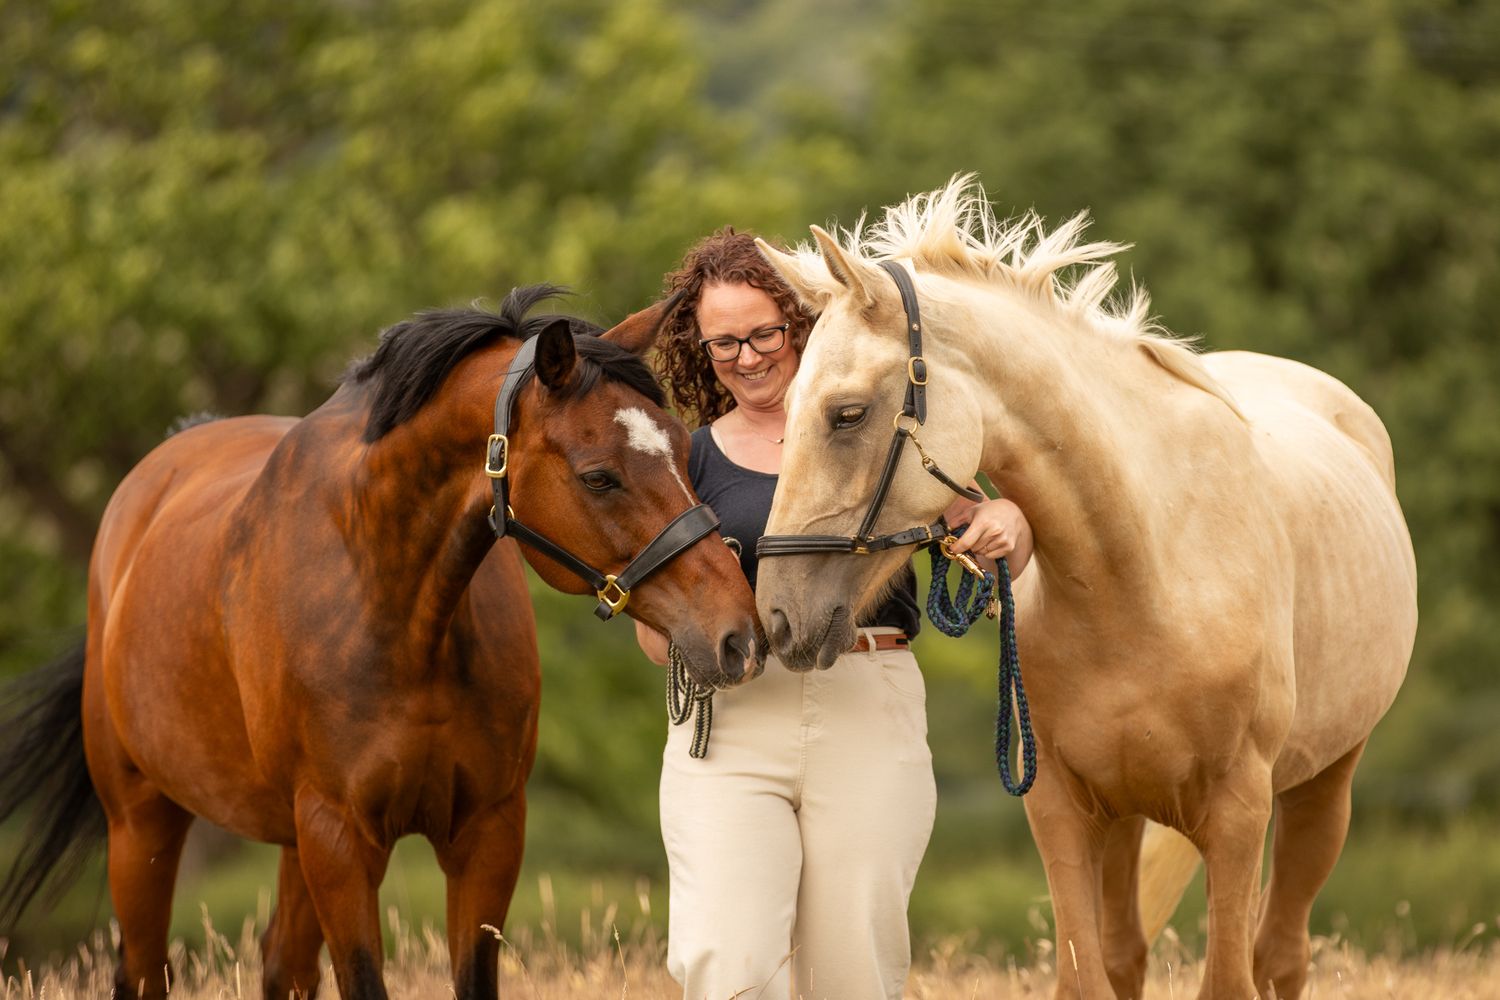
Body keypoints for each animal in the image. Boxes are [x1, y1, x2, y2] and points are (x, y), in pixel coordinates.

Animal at [0, 285, 759, 1000]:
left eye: (683, 450)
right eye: (598, 475)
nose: (737, 635)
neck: (396, 615)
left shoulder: (486, 833)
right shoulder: (340, 839)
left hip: (287, 842)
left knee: (284, 967)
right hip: (143, 824)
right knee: (146, 969)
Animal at [751, 179, 1417, 999]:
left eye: (846, 414)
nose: (780, 617)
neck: (1143, 573)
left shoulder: (1238, 814)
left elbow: (1230, 979)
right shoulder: (1062, 809)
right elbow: (1088, 975)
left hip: (1325, 785)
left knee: (1282, 957)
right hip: (1127, 816)